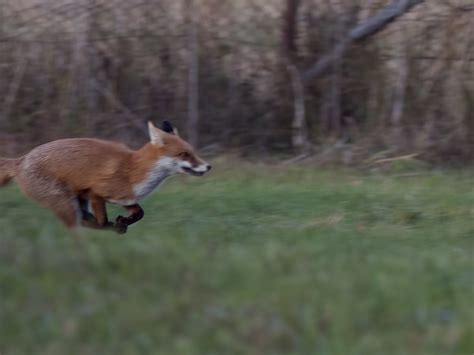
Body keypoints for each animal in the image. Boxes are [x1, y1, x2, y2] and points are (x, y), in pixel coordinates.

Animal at [0, 121, 211, 235]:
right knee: (78, 225)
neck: (133, 171)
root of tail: (21, 160)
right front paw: (116, 225)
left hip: (75, 201)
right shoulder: (95, 193)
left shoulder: (125, 198)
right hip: (66, 202)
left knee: (81, 221)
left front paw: (124, 221)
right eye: (184, 154)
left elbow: (140, 213)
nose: (209, 166)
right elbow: (101, 221)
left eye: (192, 152)